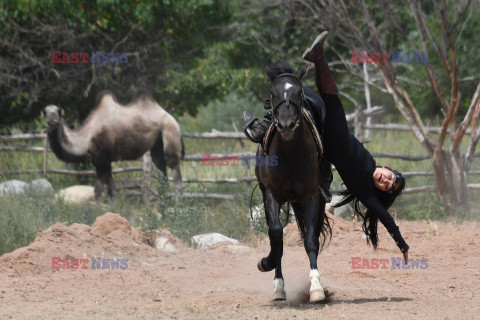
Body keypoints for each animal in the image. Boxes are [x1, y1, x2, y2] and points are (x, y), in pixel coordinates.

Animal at [42, 89, 185, 196]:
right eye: (46, 112)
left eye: (58, 111)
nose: (53, 119)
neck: (85, 138)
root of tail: (175, 121)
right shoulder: (104, 160)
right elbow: (112, 188)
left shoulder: (101, 157)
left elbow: (99, 189)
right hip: (157, 143)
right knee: (161, 169)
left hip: (170, 130)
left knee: (174, 171)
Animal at [256, 62, 332, 302]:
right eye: (273, 93)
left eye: (298, 92)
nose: (287, 125)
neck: (290, 154)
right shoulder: (271, 195)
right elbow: (276, 235)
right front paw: (269, 269)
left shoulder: (312, 197)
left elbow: (310, 239)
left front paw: (316, 287)